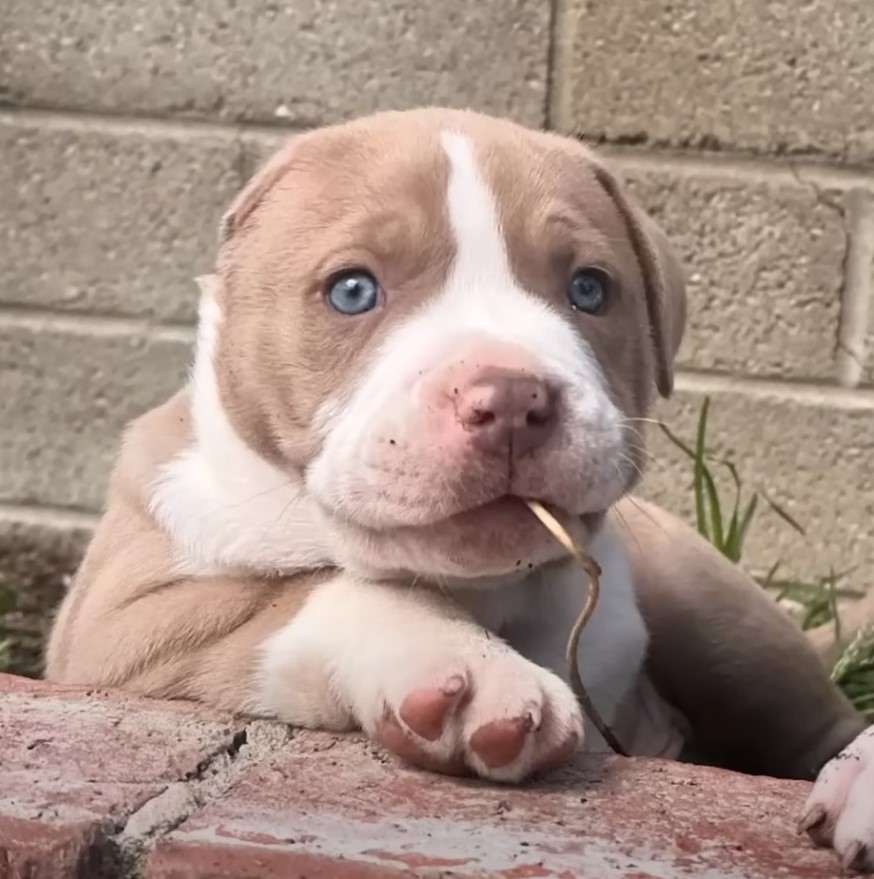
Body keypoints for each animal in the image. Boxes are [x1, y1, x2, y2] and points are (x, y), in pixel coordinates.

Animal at [42, 108, 872, 868]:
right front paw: (469, 669)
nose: (509, 396)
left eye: (589, 289)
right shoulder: (122, 625)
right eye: (352, 290)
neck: (483, 585)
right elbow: (299, 594)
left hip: (712, 603)